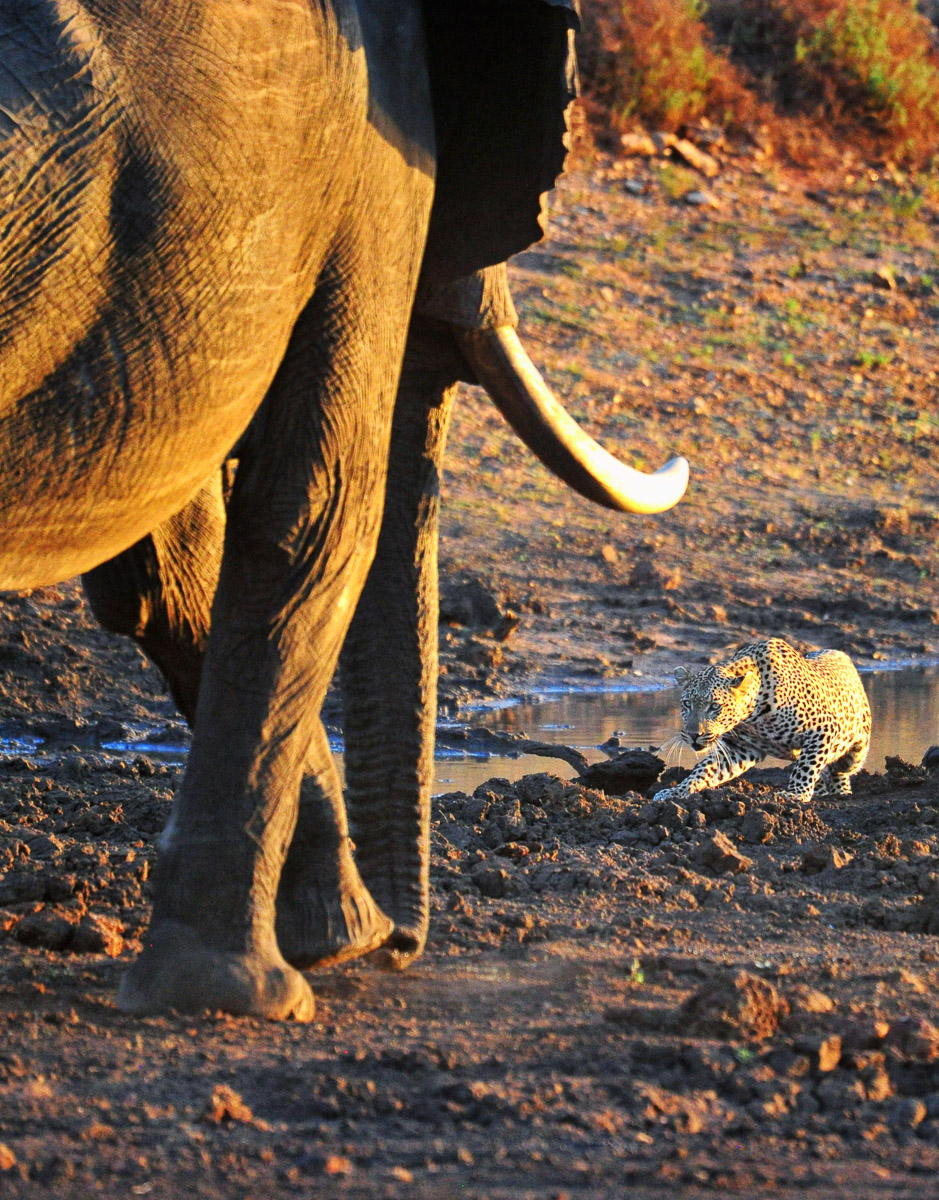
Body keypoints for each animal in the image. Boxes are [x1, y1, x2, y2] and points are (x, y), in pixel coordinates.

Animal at [0, 0, 688, 1019]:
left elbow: (173, 571)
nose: (405, 943)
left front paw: (336, 936)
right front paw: (252, 993)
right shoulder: (375, 162)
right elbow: (320, 512)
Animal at [656, 638, 871, 805]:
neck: (754, 715)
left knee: (838, 768)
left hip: (856, 751)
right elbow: (704, 770)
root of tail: (840, 653)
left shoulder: (823, 729)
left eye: (715, 706)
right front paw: (676, 791)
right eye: (687, 704)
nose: (693, 735)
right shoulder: (740, 748)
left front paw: (795, 794)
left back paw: (840, 792)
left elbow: (806, 765)